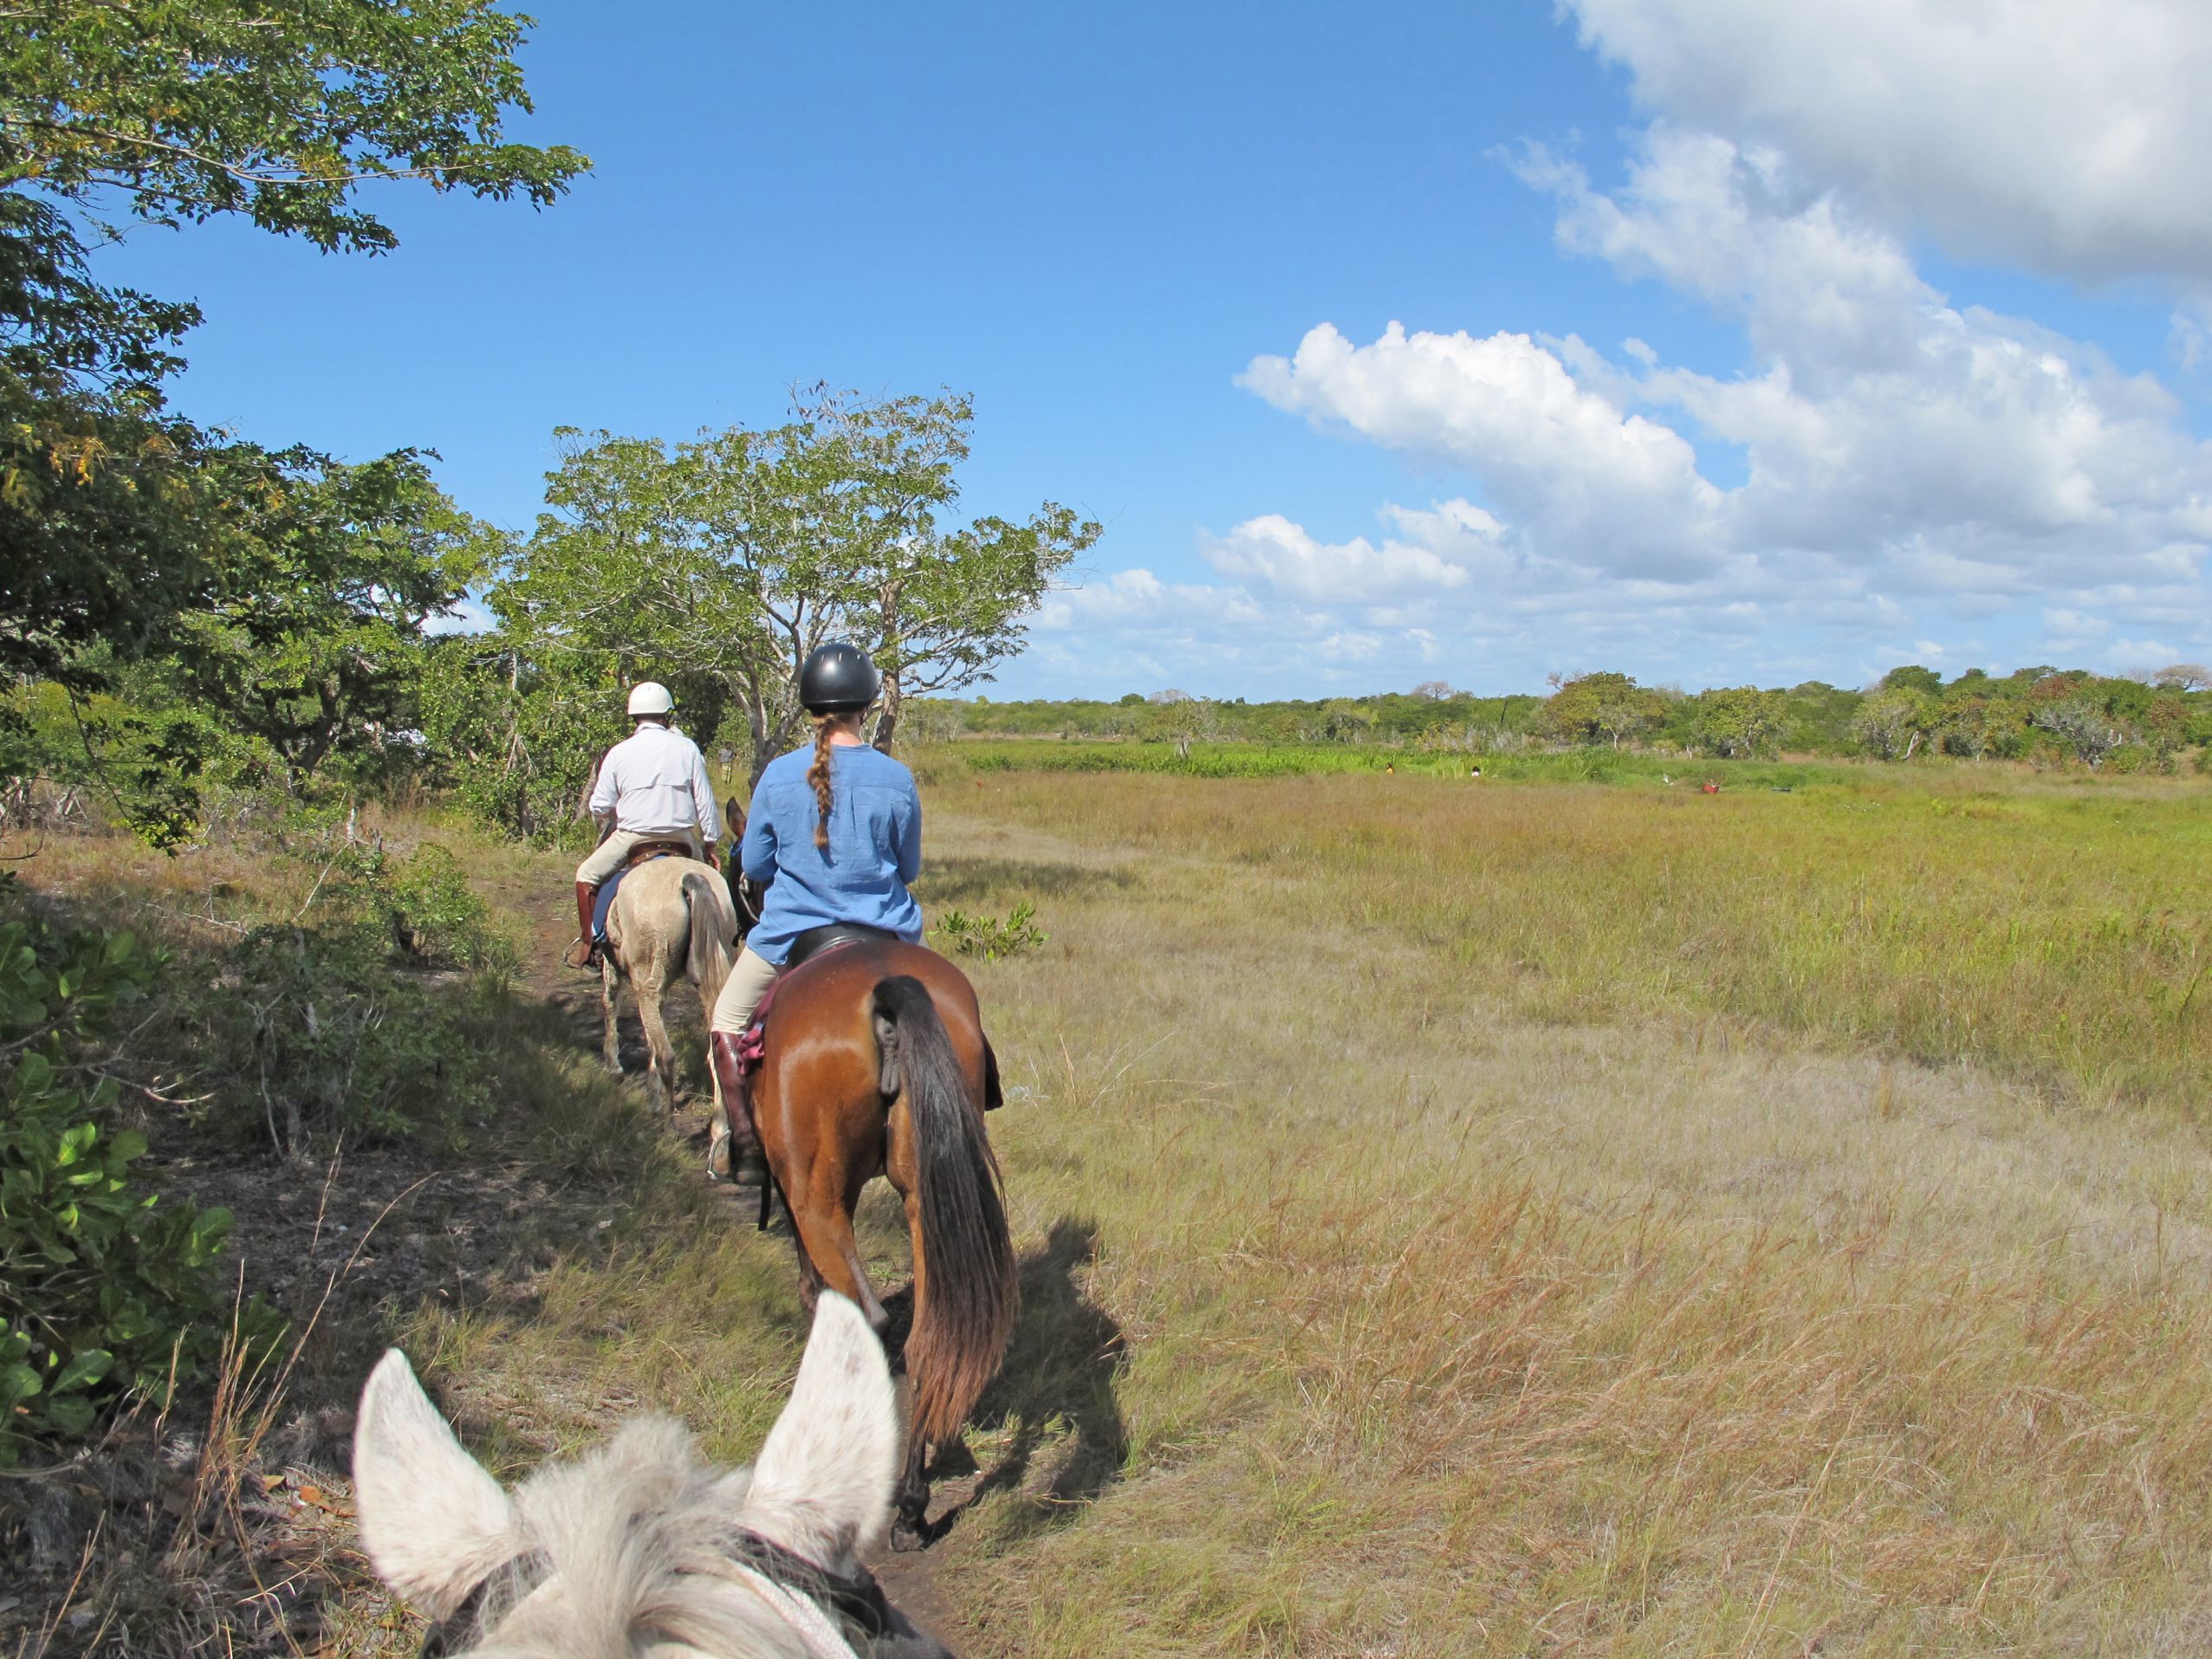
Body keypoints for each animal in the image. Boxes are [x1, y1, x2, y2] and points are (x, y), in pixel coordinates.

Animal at [738, 942, 1022, 1557]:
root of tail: (885, 995)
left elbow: (811, 1281)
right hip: (925, 1193)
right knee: (924, 1341)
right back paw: (911, 1512)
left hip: (820, 1198)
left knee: (868, 1323)